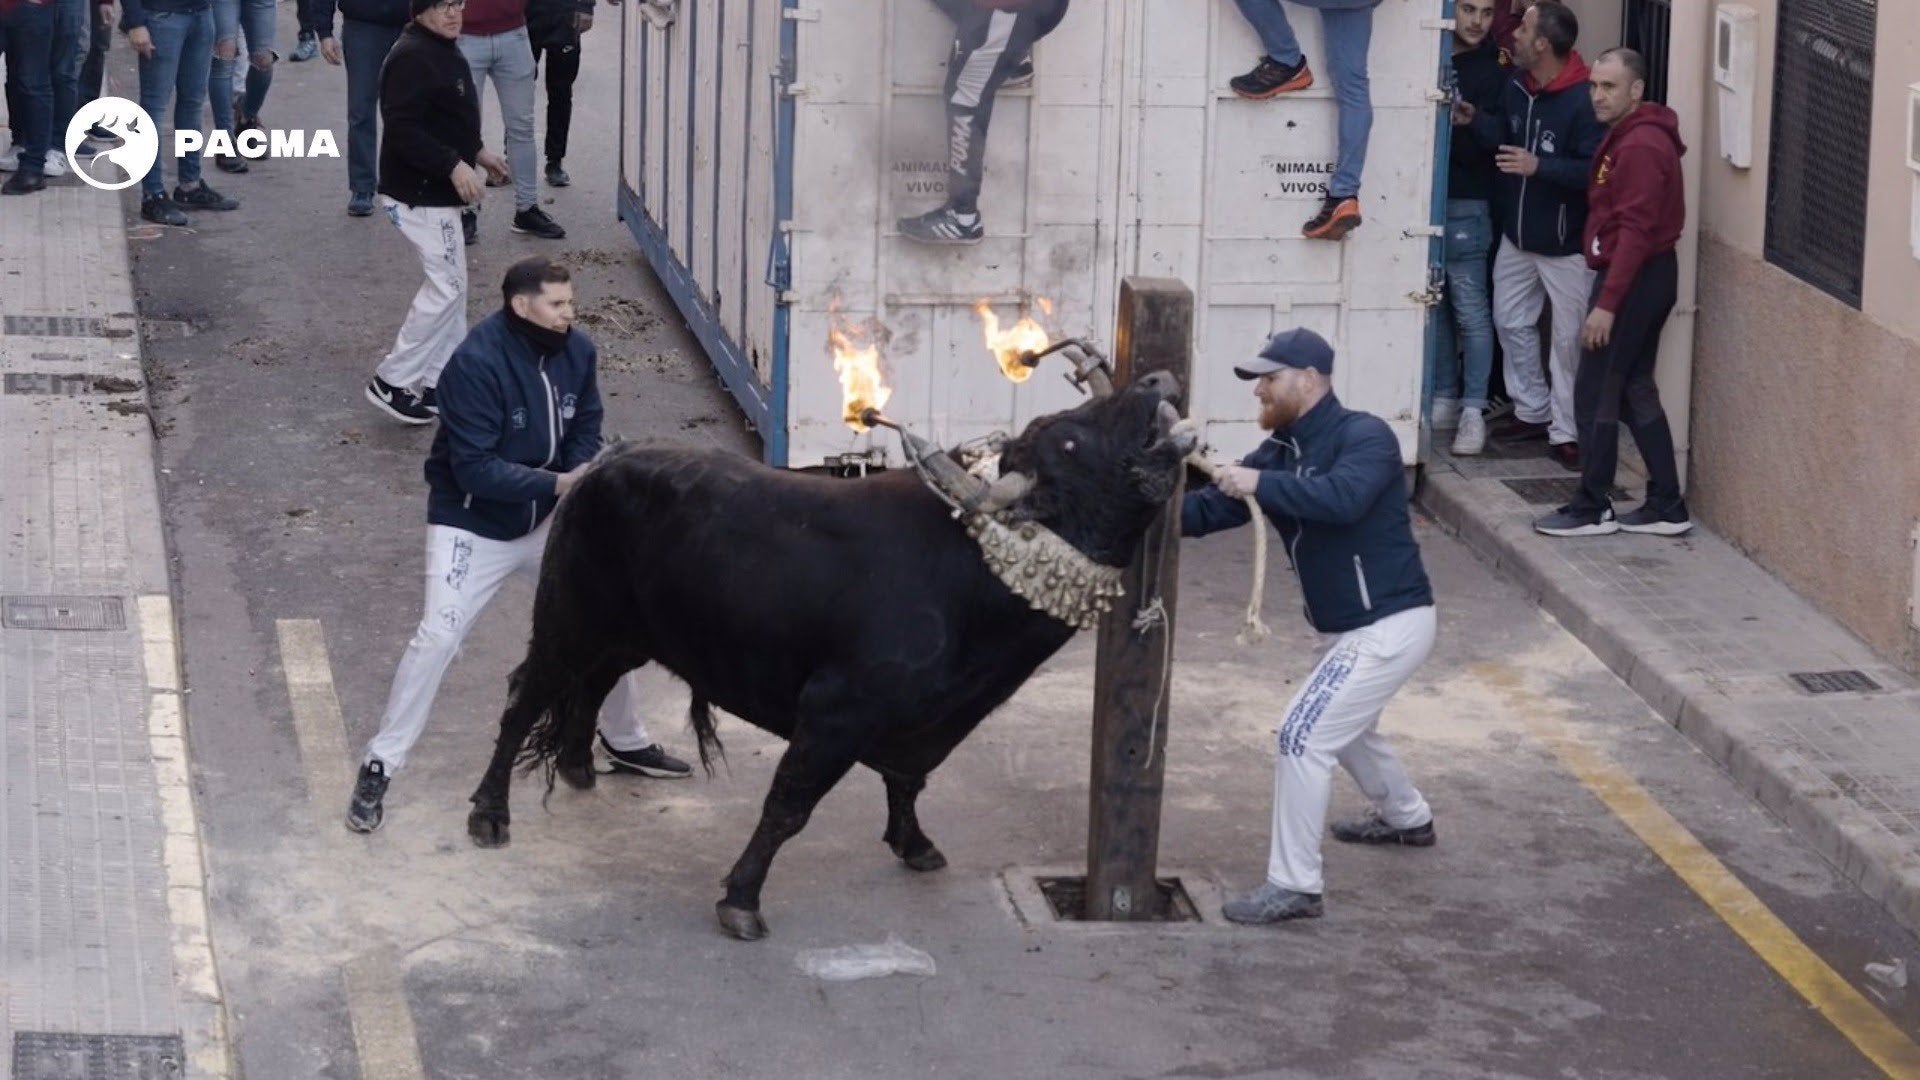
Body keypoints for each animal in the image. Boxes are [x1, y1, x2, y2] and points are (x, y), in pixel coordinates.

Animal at [464, 367, 1190, 933]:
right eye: (1070, 437)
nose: (1159, 381)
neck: (977, 563)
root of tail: (603, 464)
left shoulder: (929, 723)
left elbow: (908, 782)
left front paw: (916, 845)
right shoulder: (835, 714)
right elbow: (789, 805)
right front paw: (741, 899)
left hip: (626, 632)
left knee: (590, 685)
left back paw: (578, 767)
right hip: (567, 618)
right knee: (524, 697)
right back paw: (490, 815)